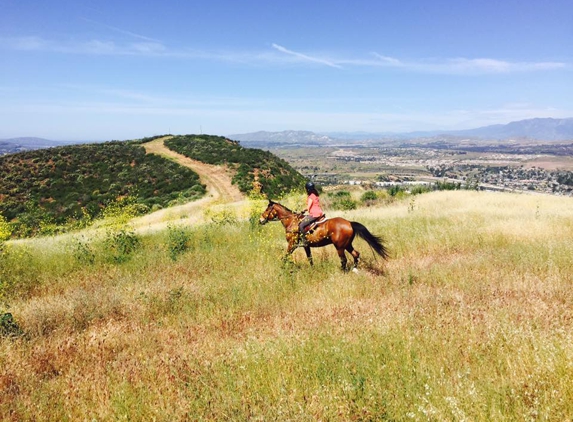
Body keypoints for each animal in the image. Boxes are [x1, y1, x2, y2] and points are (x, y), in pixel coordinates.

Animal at [260, 200, 388, 270]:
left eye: (266, 210)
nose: (260, 220)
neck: (292, 221)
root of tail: (349, 223)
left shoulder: (292, 244)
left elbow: (285, 256)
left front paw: (283, 267)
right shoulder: (306, 246)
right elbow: (310, 258)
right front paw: (312, 269)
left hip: (339, 247)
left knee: (344, 259)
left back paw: (343, 271)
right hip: (347, 245)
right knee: (356, 254)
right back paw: (354, 269)